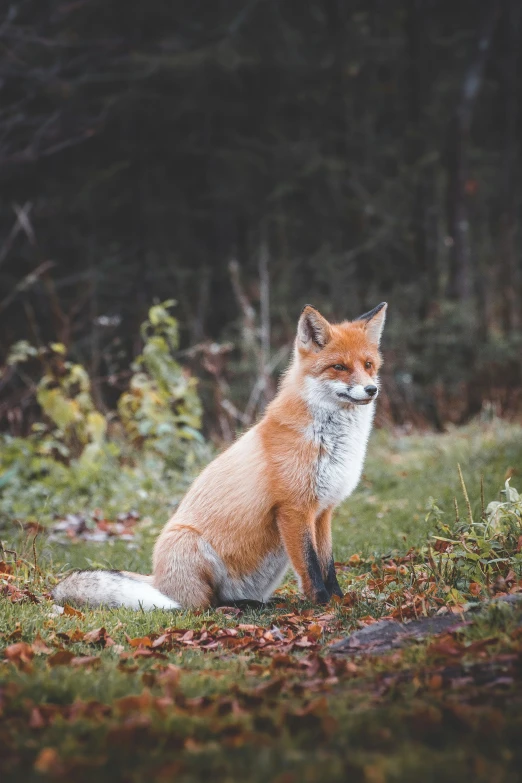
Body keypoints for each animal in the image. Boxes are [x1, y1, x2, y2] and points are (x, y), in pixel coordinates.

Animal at [53, 304, 386, 616]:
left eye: (368, 365)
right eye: (339, 367)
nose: (371, 389)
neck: (331, 441)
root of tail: (158, 582)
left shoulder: (323, 511)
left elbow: (328, 566)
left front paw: (341, 601)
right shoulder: (294, 509)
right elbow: (312, 569)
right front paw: (324, 606)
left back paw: (258, 602)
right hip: (190, 547)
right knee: (203, 605)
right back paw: (238, 607)